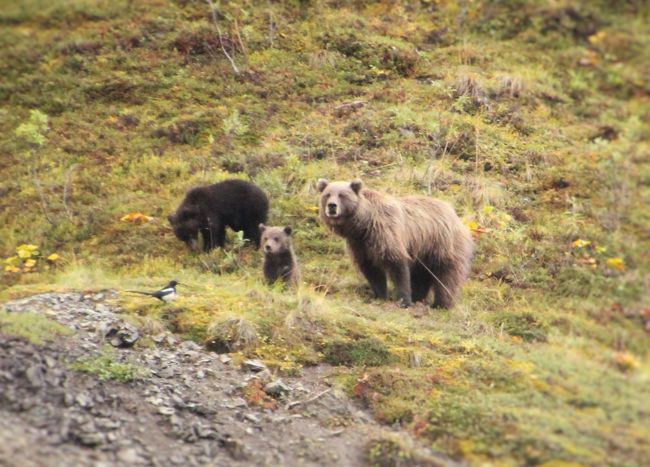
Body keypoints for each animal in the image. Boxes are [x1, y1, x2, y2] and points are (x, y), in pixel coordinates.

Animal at [318, 181, 474, 308]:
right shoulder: (359, 245)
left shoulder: (385, 233)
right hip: (423, 253)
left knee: (447, 277)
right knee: (421, 276)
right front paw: (379, 295)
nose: (332, 206)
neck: (362, 225)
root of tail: (457, 217)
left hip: (443, 245)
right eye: (327, 194)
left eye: (342, 195)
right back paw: (419, 297)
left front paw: (404, 300)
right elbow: (371, 270)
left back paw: (441, 303)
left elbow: (396, 264)